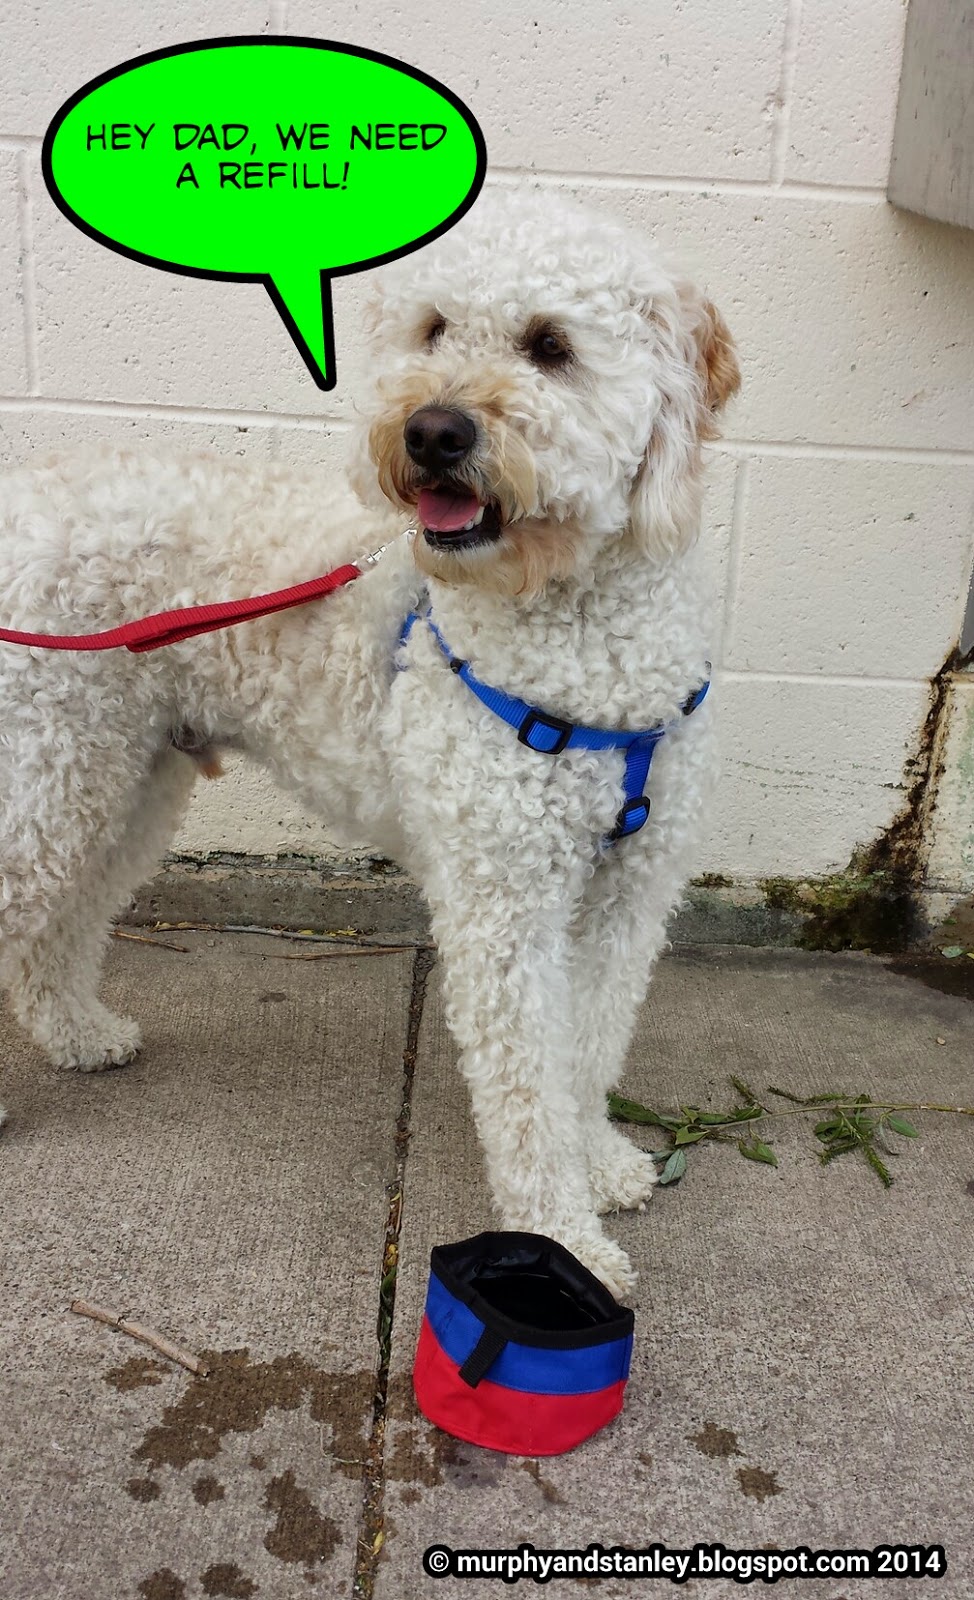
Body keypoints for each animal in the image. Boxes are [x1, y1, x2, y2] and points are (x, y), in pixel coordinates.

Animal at [0, 190, 738, 1297]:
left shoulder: (627, 891)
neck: (579, 634)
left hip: (118, 782)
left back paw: (79, 1033)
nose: (431, 430)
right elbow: (527, 1089)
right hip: (48, 774)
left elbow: (589, 1047)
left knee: (63, 920)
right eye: (433, 329)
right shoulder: (502, 904)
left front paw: (599, 1160)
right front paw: (563, 1240)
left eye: (551, 346)